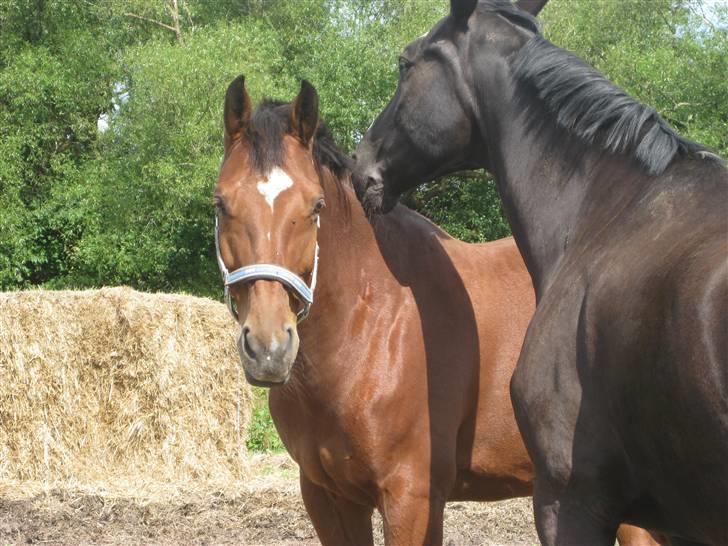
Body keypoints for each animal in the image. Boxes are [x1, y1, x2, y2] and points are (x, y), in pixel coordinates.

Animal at [215, 74, 660, 540]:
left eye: (315, 205)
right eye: (220, 203)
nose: (268, 349)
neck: (371, 322)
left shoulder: (412, 497)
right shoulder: (327, 497)